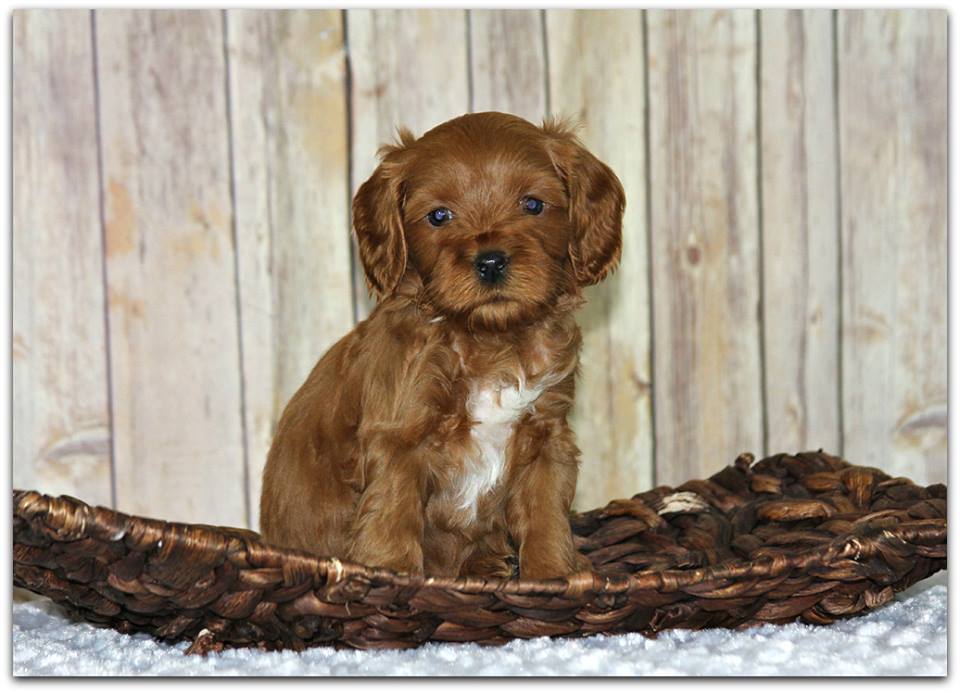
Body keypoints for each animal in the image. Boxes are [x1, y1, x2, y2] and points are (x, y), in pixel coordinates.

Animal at [258, 112, 628, 580]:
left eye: (532, 205)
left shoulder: (547, 436)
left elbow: (546, 517)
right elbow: (392, 518)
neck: (490, 338)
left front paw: (554, 576)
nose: (491, 262)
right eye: (439, 216)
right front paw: (391, 576)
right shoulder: (400, 439)